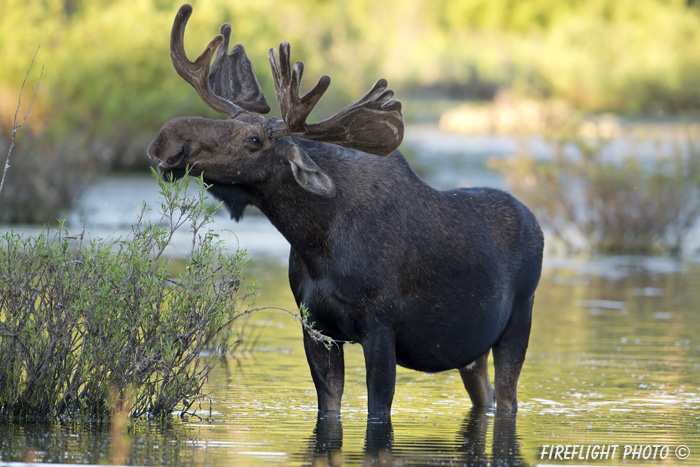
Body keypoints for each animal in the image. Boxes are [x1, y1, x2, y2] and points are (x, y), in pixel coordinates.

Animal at [146, 4, 540, 416]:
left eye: (254, 140)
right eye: (229, 121)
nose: (166, 141)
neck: (315, 240)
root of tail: (536, 224)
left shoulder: (380, 327)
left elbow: (377, 409)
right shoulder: (316, 327)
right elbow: (329, 402)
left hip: (519, 321)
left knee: (508, 397)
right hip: (472, 350)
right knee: (487, 396)